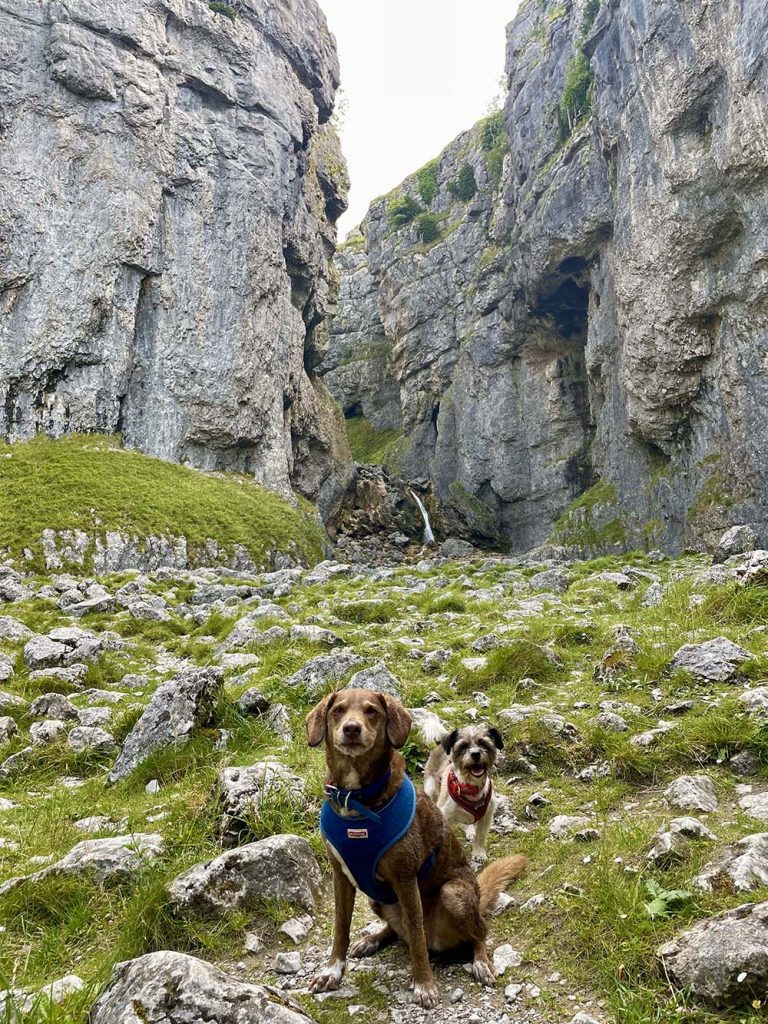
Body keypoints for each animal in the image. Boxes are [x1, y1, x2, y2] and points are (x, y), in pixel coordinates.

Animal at [421, 724, 505, 860]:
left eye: (483, 744)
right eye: (463, 746)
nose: (476, 754)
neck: (471, 787)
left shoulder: (486, 817)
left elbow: (480, 837)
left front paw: (479, 853)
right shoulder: (445, 816)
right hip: (430, 790)